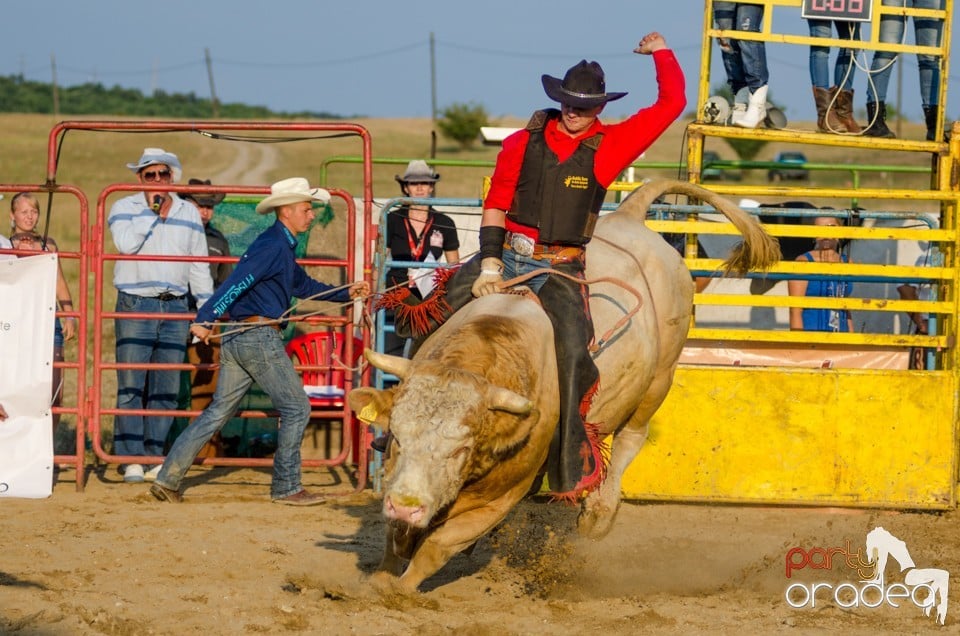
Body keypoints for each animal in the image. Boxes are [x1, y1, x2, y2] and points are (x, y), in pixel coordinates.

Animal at [348, 179, 784, 592]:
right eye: (398, 436)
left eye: (460, 450)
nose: (407, 505)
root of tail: (628, 216)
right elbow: (396, 538)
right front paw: (382, 577)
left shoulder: (500, 498)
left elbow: (438, 547)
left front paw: (399, 589)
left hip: (660, 379)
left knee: (630, 439)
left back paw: (599, 513)